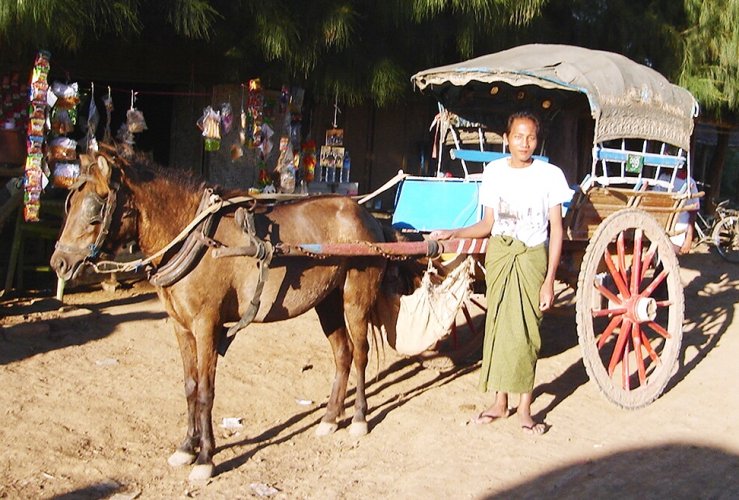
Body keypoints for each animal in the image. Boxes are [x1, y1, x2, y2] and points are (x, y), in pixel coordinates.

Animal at [49, 151, 390, 480]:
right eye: (71, 203)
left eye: (95, 208)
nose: (59, 263)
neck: (195, 238)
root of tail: (366, 216)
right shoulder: (181, 327)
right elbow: (189, 386)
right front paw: (186, 448)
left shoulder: (206, 326)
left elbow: (205, 391)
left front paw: (204, 458)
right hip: (327, 302)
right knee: (343, 354)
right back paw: (330, 418)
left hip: (355, 299)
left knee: (360, 354)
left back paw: (359, 418)